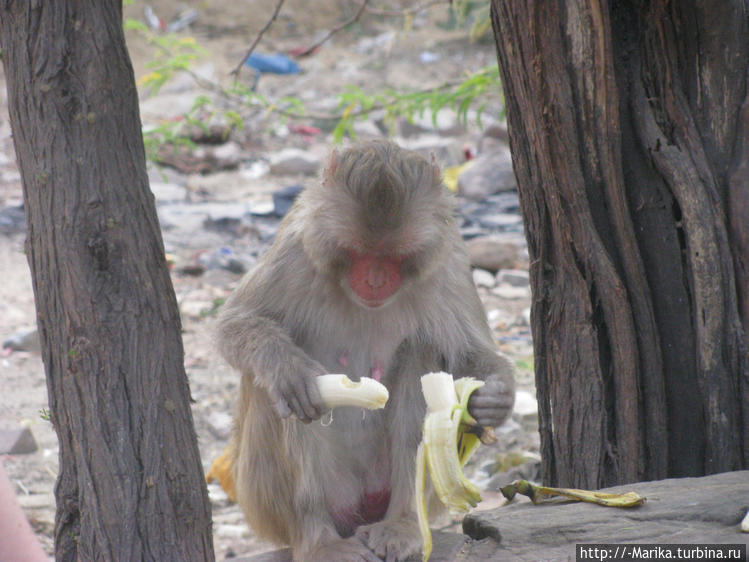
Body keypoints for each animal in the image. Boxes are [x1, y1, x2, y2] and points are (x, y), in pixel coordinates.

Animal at [218, 140, 516, 560]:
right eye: (358, 250)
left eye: (395, 255)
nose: (374, 280)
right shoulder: (295, 248)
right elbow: (235, 324)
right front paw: (287, 369)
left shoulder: (450, 260)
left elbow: (467, 352)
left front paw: (494, 398)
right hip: (263, 501)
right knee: (277, 390)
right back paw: (317, 537)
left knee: (422, 353)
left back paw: (402, 522)